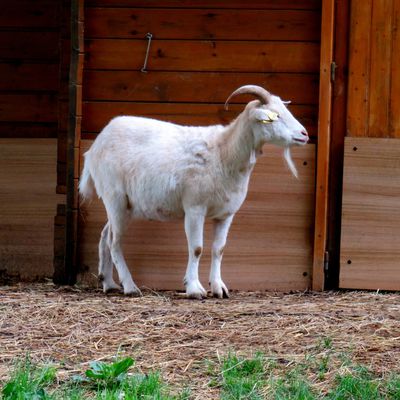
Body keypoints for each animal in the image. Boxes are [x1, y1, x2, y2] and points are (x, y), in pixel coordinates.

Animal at [79, 86, 310, 300]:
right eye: (274, 116)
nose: (304, 134)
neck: (224, 152)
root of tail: (95, 146)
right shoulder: (194, 208)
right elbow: (197, 248)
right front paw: (194, 289)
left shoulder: (226, 213)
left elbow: (219, 249)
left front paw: (219, 288)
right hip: (114, 196)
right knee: (115, 242)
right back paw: (129, 287)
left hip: (125, 205)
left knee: (105, 235)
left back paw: (109, 283)